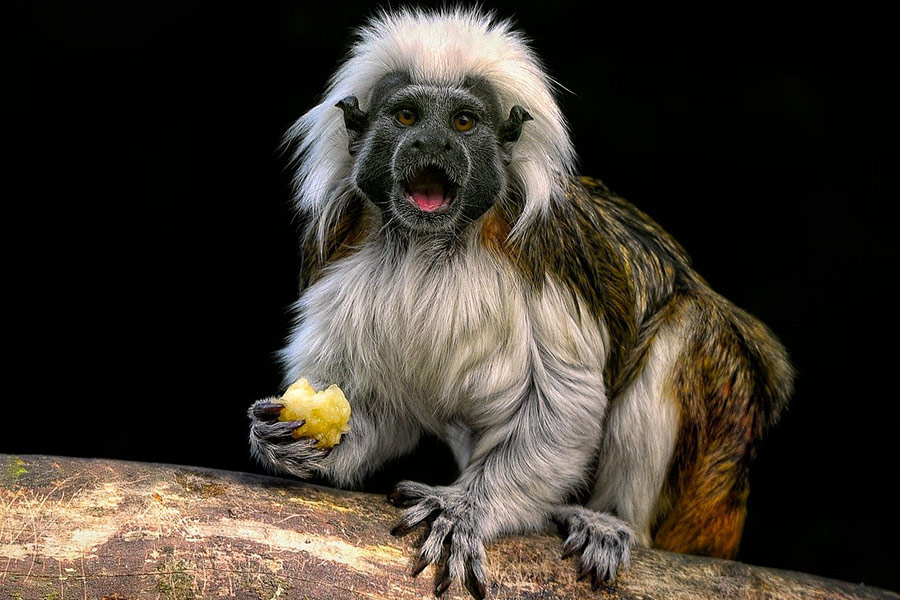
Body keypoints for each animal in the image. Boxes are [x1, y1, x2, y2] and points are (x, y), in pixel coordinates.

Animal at [248, 8, 793, 599]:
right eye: (407, 117)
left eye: (462, 123)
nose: (431, 146)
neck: (428, 245)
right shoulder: (336, 255)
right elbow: (380, 404)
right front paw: (293, 446)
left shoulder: (548, 254)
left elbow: (564, 404)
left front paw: (466, 509)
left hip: (714, 469)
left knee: (687, 327)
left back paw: (607, 521)